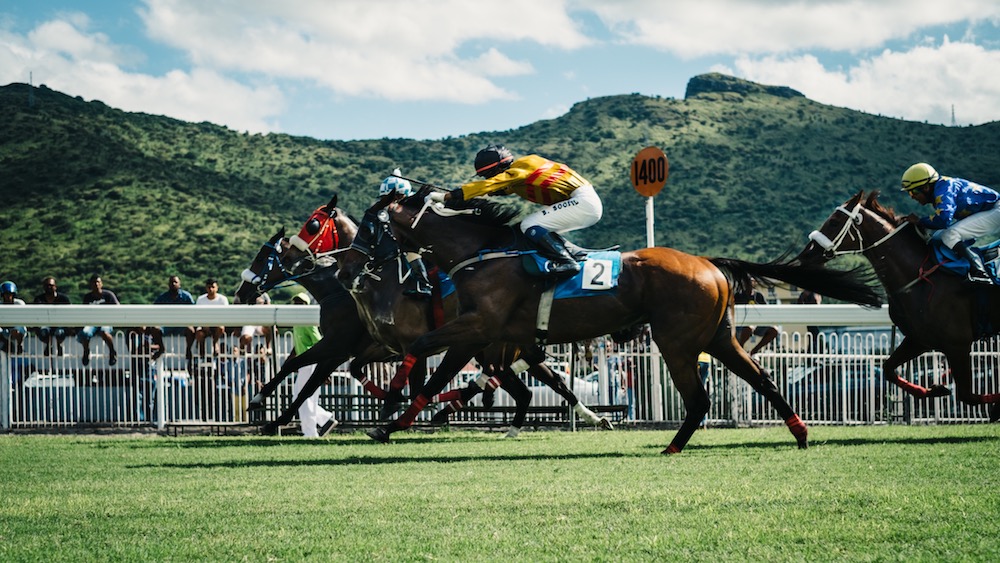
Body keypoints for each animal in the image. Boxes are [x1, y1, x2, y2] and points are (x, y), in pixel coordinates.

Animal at [352, 187, 884, 456]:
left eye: (371, 225)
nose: (356, 264)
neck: (483, 251)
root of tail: (709, 264)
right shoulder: (482, 334)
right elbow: (436, 373)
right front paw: (390, 422)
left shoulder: (480, 329)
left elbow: (420, 354)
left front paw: (386, 409)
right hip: (717, 337)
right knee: (761, 379)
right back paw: (799, 432)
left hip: (676, 341)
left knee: (700, 398)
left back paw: (672, 446)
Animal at [796, 192, 1000, 420]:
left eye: (834, 222)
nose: (806, 253)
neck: (921, 278)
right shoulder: (919, 340)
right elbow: (888, 369)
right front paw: (935, 389)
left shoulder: (957, 344)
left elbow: (967, 395)